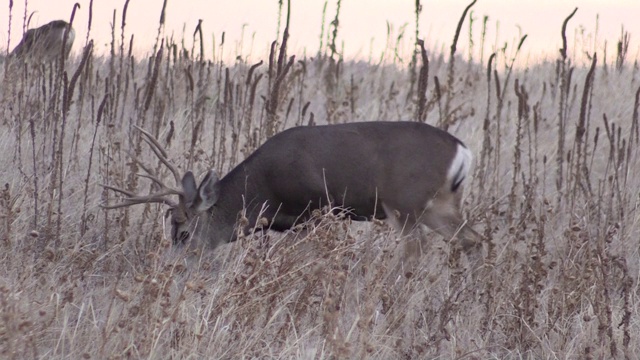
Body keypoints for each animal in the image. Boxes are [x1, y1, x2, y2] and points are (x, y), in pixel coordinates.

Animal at [104, 122, 484, 272]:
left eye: (183, 232)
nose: (171, 268)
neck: (262, 192)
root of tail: (463, 150)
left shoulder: (313, 211)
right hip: (439, 203)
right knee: (472, 239)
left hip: (404, 202)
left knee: (416, 249)